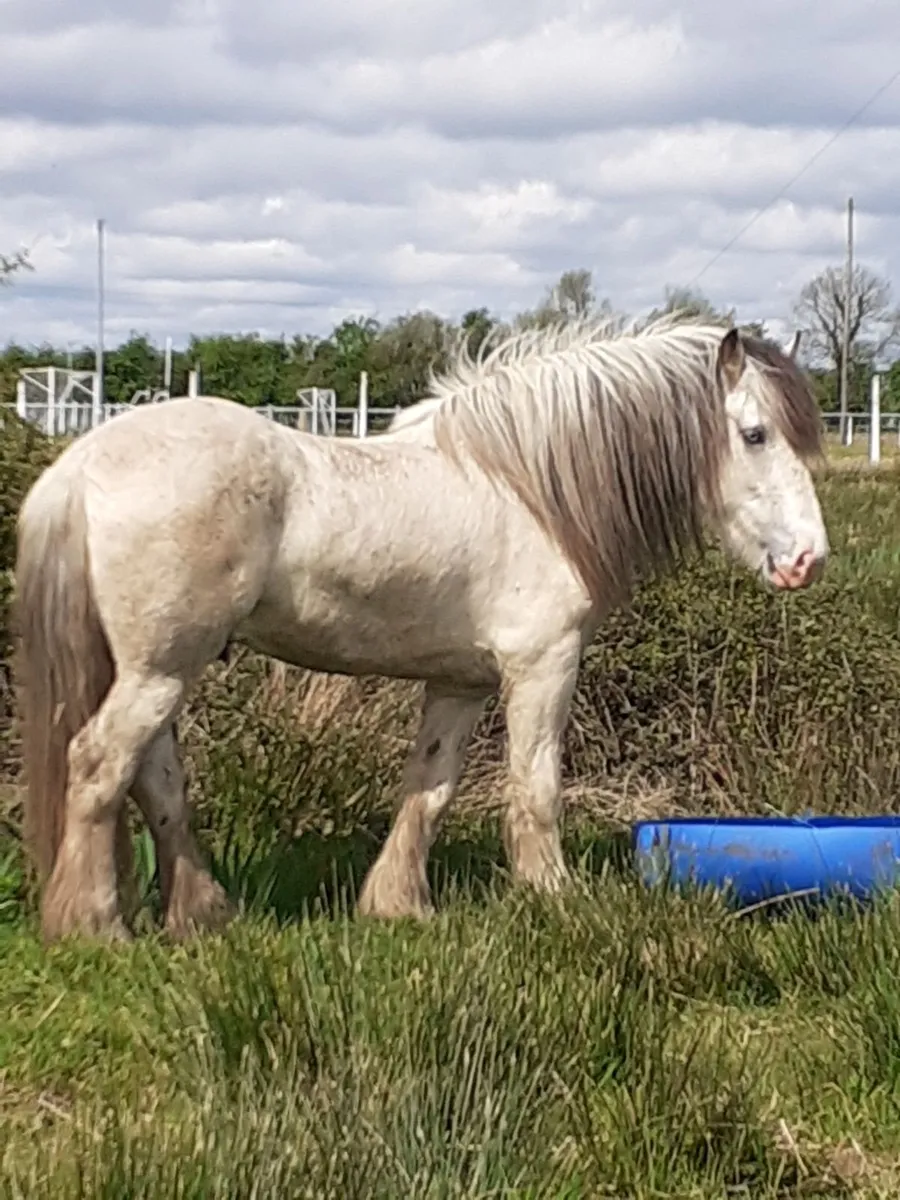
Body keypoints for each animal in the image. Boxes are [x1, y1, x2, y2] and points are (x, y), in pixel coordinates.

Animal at [13, 313, 828, 943]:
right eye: (755, 434)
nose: (807, 561)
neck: (526, 488)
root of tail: (80, 465)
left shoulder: (461, 683)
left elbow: (429, 789)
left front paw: (398, 904)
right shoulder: (544, 665)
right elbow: (536, 787)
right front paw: (554, 898)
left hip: (160, 669)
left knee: (156, 779)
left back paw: (202, 914)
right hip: (160, 669)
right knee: (99, 765)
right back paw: (94, 925)